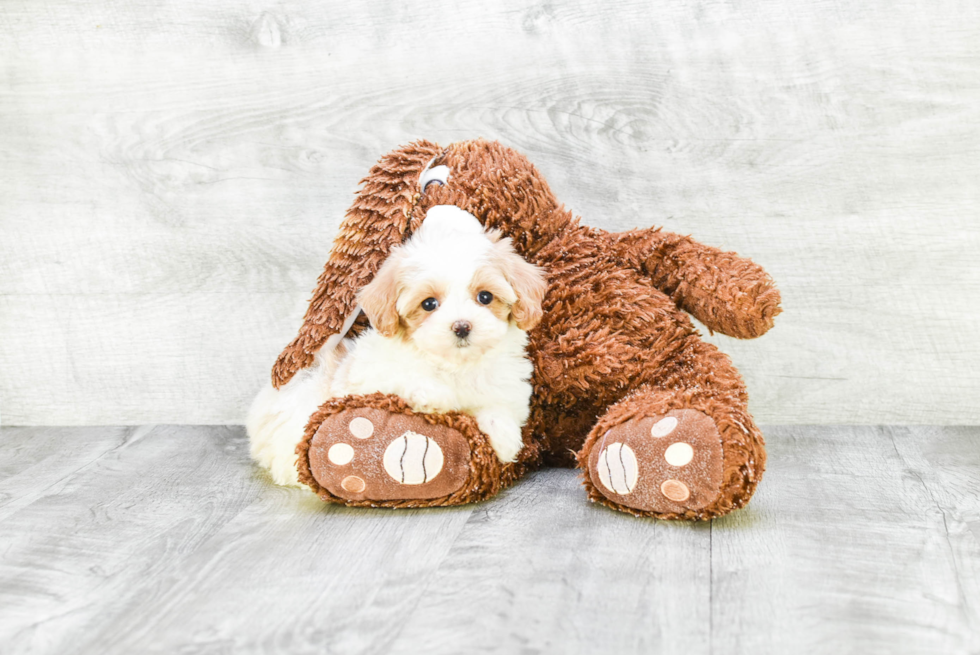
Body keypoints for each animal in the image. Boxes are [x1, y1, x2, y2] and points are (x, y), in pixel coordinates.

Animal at [249, 205, 548, 486]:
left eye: (485, 297)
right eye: (429, 303)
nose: (462, 326)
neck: (454, 365)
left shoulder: (506, 387)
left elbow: (501, 407)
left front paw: (505, 439)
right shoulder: (371, 376)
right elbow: (406, 378)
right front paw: (436, 396)